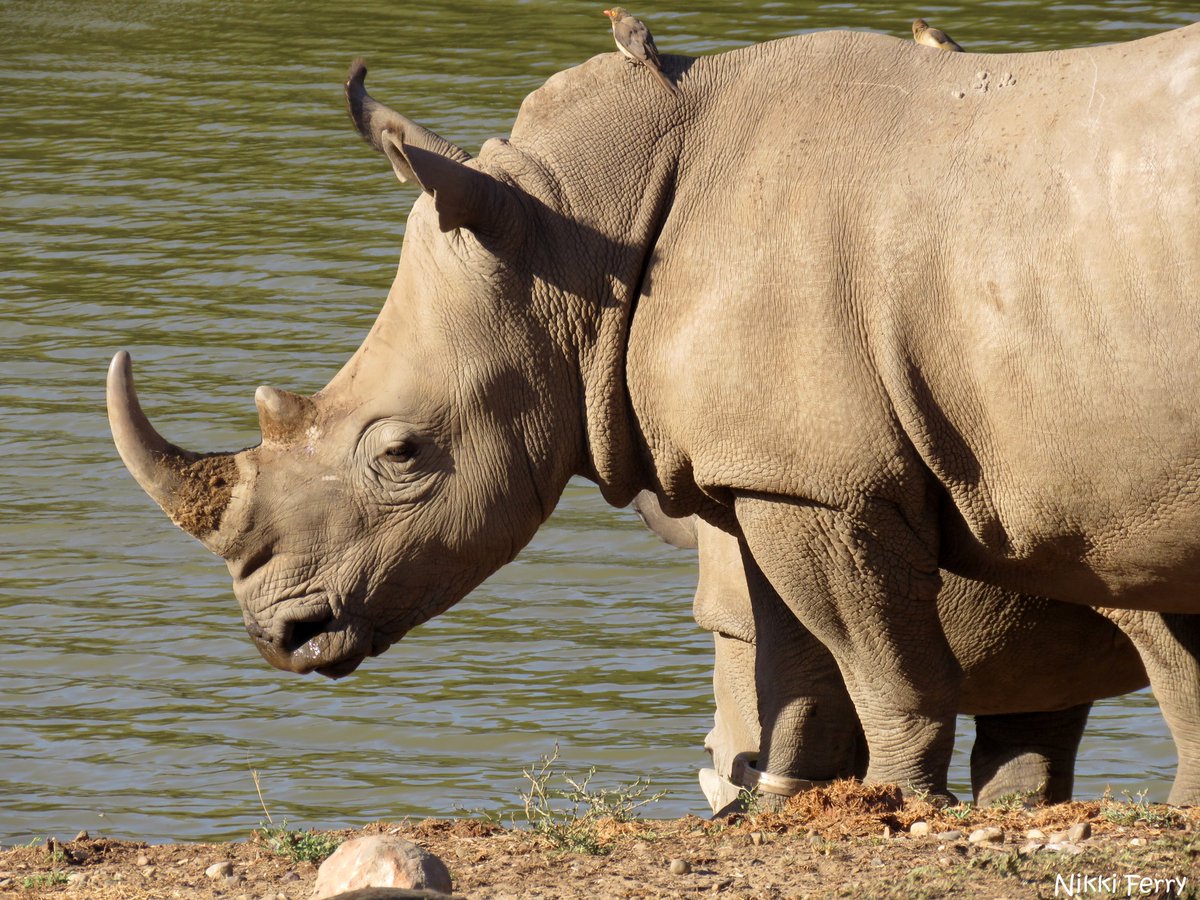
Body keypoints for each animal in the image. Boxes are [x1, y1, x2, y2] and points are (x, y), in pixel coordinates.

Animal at [108, 25, 1200, 800]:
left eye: (404, 453)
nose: (278, 635)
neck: (574, 231)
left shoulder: (820, 481)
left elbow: (882, 662)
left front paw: (893, 805)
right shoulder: (772, 470)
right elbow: (794, 658)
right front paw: (789, 800)